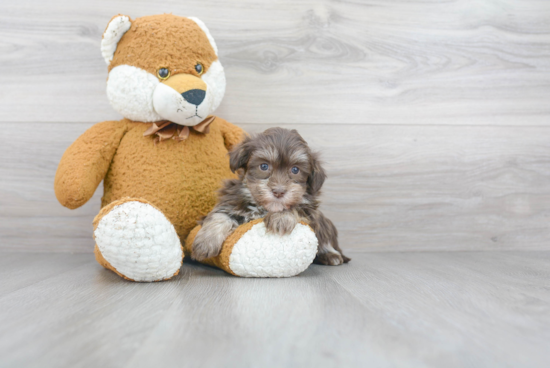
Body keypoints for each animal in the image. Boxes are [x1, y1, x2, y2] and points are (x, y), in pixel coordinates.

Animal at [192, 126, 352, 264]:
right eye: (264, 166)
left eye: (295, 170)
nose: (279, 191)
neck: (264, 207)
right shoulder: (230, 202)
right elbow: (219, 216)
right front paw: (205, 242)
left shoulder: (310, 212)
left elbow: (296, 207)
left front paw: (281, 218)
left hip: (325, 225)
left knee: (326, 240)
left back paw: (331, 255)